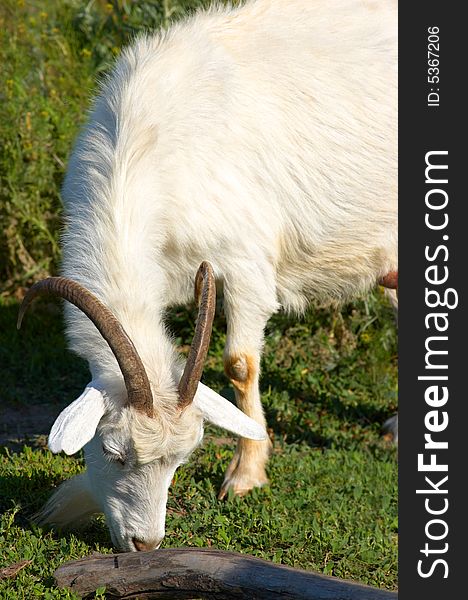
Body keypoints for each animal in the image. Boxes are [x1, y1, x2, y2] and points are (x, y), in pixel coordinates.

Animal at [20, 0, 396, 552]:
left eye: (182, 459)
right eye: (112, 453)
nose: (146, 545)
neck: (150, 140)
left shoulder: (244, 263)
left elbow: (240, 363)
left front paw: (246, 474)